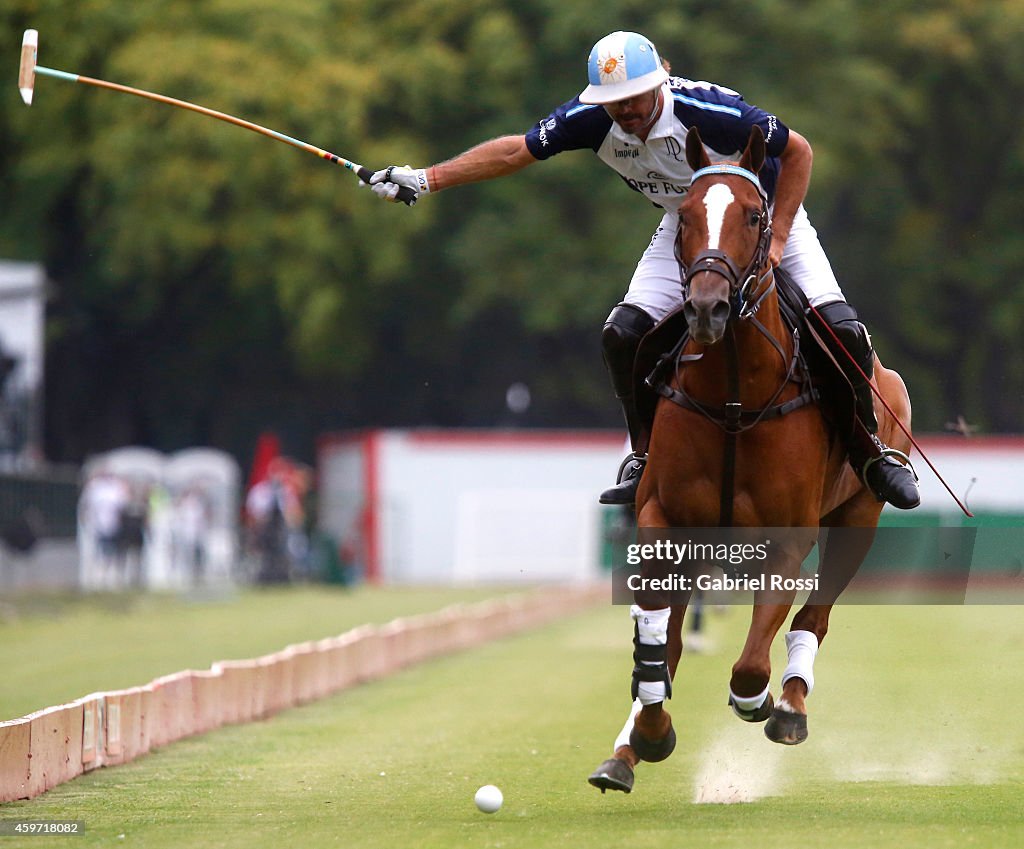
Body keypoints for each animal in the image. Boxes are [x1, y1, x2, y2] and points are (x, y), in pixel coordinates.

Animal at [589, 125, 917, 794]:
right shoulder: (664, 521)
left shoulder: (788, 537)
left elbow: (748, 665)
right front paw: (647, 736)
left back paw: (788, 706)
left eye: (753, 214)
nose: (707, 308)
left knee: (815, 616)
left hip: (859, 516)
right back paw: (629, 747)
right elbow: (657, 649)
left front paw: (759, 702)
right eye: (686, 215)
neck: (735, 395)